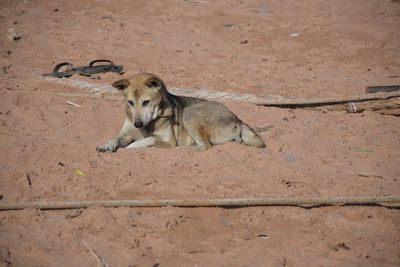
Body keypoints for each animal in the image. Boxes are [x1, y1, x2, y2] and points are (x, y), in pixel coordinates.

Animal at [96, 73, 266, 153]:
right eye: (130, 102)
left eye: (146, 102)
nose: (137, 123)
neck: (149, 123)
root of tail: (237, 118)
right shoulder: (125, 134)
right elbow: (115, 138)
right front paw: (106, 145)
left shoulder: (168, 141)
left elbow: (150, 139)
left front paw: (133, 146)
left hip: (189, 113)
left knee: (204, 146)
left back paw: (183, 149)